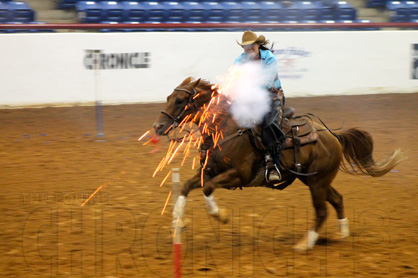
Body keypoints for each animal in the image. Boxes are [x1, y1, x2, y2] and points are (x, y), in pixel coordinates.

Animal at [153, 77, 402, 251]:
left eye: (180, 100)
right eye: (167, 97)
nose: (157, 126)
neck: (226, 128)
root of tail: (333, 135)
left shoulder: (239, 174)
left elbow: (208, 188)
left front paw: (219, 215)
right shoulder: (208, 170)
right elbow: (186, 186)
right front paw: (179, 222)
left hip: (317, 182)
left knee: (321, 211)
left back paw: (305, 244)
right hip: (313, 179)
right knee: (337, 199)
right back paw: (342, 234)